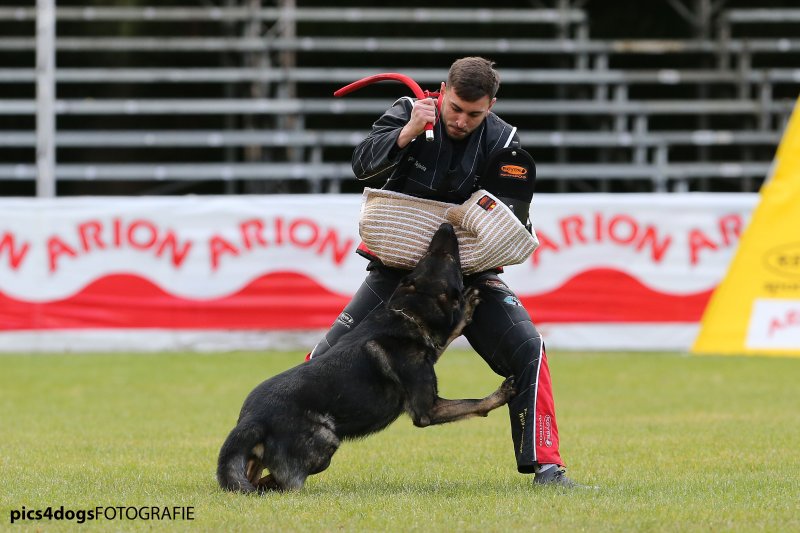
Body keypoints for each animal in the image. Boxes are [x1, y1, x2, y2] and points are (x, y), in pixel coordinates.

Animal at [217, 222, 520, 492]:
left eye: (426, 256)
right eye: (451, 260)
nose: (445, 226)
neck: (408, 313)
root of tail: (252, 419)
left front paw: (468, 307)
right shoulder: (428, 409)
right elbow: (473, 403)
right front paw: (500, 393)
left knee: (253, 474)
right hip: (327, 440)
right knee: (280, 484)